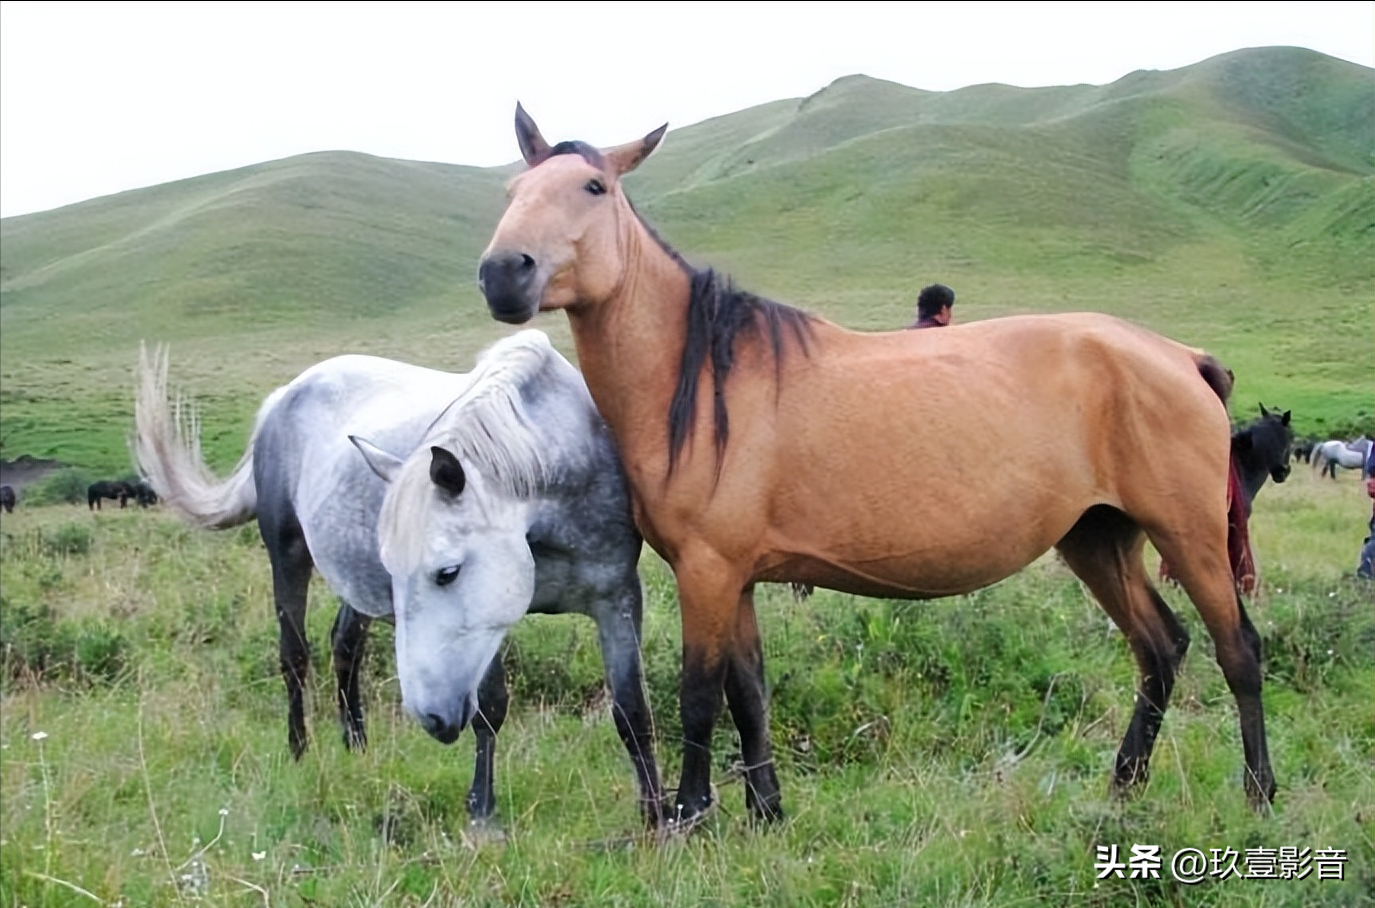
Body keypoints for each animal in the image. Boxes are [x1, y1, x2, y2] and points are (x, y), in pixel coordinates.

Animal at [475, 103, 1276, 825]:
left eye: (593, 187)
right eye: (512, 191)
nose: (503, 273)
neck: (701, 381)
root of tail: (1180, 356)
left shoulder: (706, 572)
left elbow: (699, 697)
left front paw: (690, 814)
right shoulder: (737, 579)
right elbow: (749, 694)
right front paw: (766, 813)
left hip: (1190, 536)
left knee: (1236, 649)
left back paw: (1258, 794)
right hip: (1097, 538)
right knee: (1160, 648)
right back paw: (1123, 786)